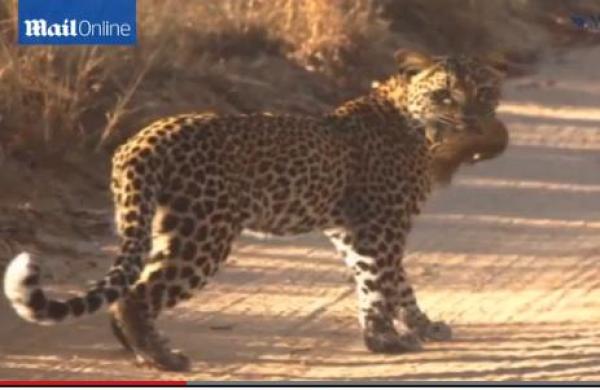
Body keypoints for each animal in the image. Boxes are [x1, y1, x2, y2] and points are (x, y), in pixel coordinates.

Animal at [2, 49, 506, 372]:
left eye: (484, 91)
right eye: (445, 95)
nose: (472, 120)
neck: (416, 124)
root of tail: (141, 139)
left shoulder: (353, 231)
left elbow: (391, 283)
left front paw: (419, 327)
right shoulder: (378, 227)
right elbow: (380, 285)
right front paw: (385, 341)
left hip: (166, 227)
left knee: (132, 288)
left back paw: (141, 351)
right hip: (204, 233)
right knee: (137, 295)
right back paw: (162, 358)